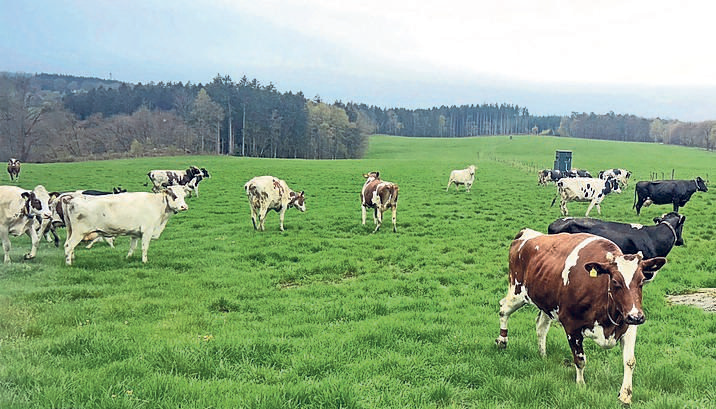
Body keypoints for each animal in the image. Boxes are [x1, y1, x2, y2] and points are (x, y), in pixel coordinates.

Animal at [61, 185, 189, 264]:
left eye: (184, 195)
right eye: (174, 195)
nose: (184, 206)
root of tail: (72, 199)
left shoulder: (135, 233)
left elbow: (132, 247)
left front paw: (128, 258)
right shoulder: (147, 231)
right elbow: (144, 247)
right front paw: (144, 261)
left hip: (70, 231)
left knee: (69, 246)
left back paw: (72, 258)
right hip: (79, 232)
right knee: (68, 246)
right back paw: (69, 264)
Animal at [498, 228, 664, 404]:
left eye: (641, 281)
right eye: (615, 281)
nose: (637, 317)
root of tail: (526, 232)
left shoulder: (629, 326)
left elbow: (629, 361)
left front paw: (625, 395)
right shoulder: (572, 326)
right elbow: (580, 359)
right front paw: (580, 385)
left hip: (546, 303)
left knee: (540, 327)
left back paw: (542, 355)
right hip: (517, 291)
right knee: (503, 309)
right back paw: (502, 341)